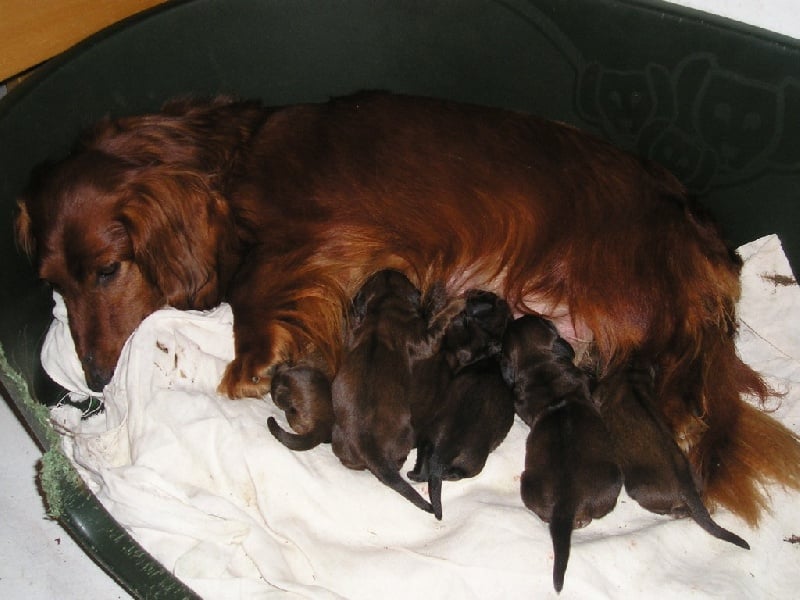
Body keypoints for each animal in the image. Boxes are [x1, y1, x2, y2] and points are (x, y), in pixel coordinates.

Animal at [330, 270, 462, 514]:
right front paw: (453, 303)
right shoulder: (421, 339)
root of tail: (369, 446)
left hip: (339, 437)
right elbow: (437, 324)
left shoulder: (354, 334)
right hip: (405, 435)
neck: (384, 305)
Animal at [408, 290, 515, 520]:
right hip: (471, 462)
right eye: (494, 300)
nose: (476, 292)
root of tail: (442, 452)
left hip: (426, 443)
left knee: (424, 470)